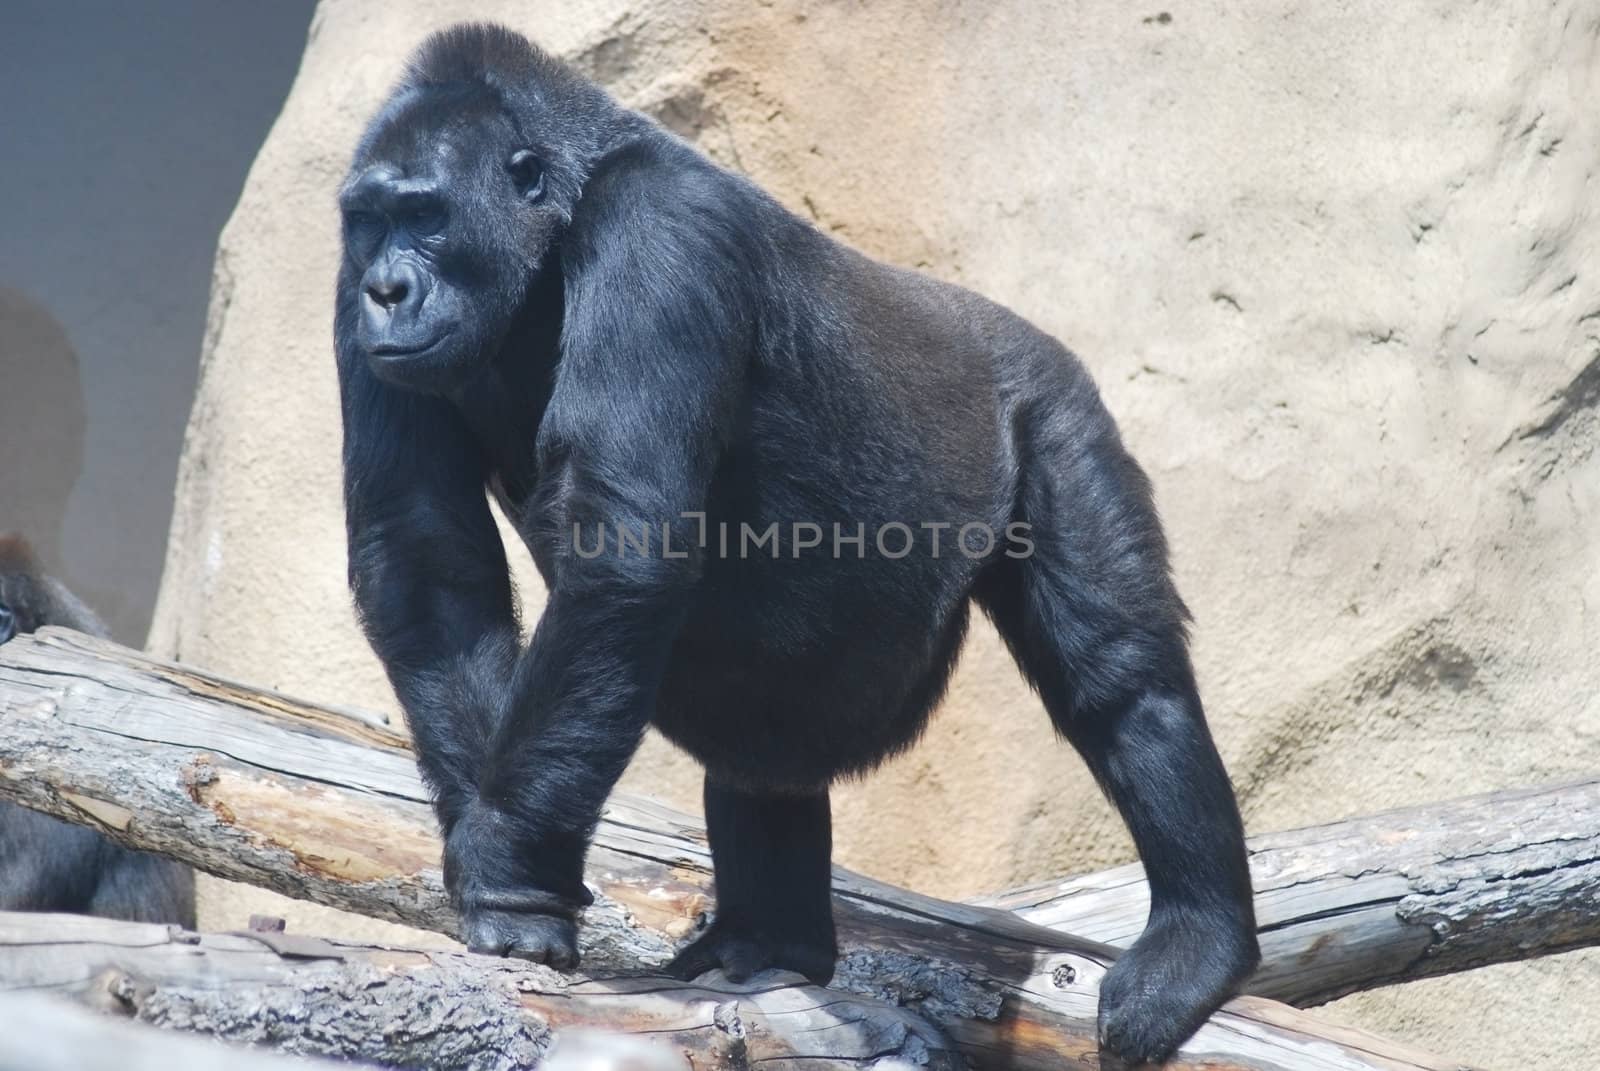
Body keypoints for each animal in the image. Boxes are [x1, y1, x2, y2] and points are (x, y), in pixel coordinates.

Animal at [340, 23, 1260, 1062]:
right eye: (369, 223)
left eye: (426, 215)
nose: (385, 289)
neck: (563, 213)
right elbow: (425, 552)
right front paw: (493, 844)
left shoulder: (662, 231)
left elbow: (618, 547)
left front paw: (510, 875)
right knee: (758, 731)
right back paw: (772, 943)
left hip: (1053, 402)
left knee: (1122, 678)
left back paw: (1198, 935)